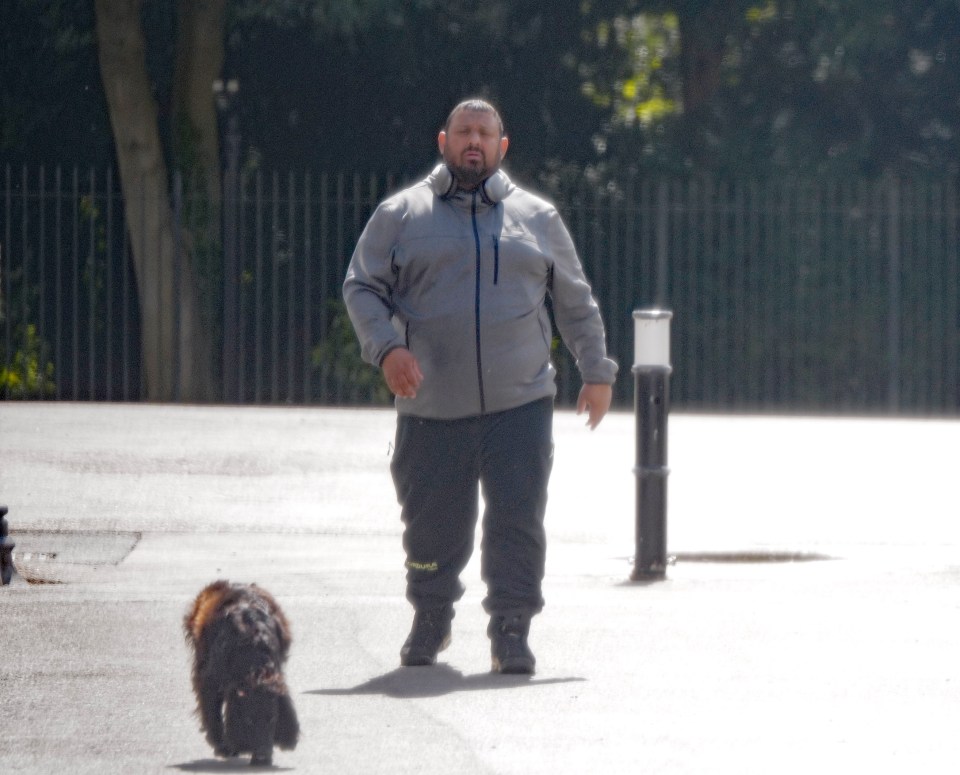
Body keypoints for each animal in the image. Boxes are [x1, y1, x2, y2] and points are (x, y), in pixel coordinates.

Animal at [182, 580, 298, 768]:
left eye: (272, 719)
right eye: (249, 721)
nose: (263, 757)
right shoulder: (210, 680)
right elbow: (212, 714)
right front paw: (223, 746)